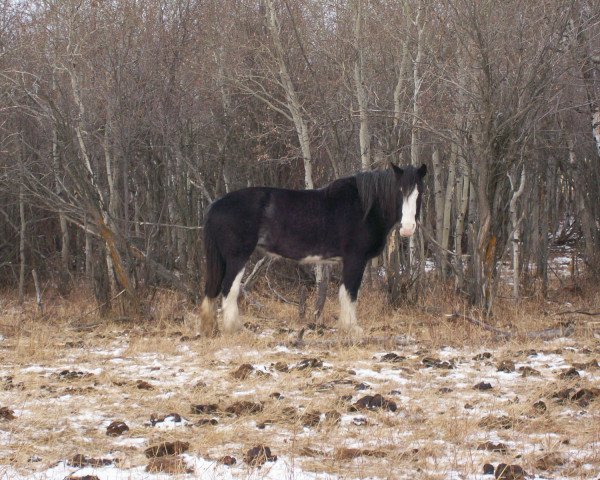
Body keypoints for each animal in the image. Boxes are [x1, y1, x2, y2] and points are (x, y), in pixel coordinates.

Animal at [202, 163, 426, 336]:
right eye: (399, 191)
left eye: (420, 192)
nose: (407, 228)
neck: (364, 207)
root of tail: (216, 205)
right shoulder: (355, 259)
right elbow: (350, 293)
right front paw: (351, 328)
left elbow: (345, 293)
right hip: (237, 257)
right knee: (229, 289)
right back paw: (235, 329)